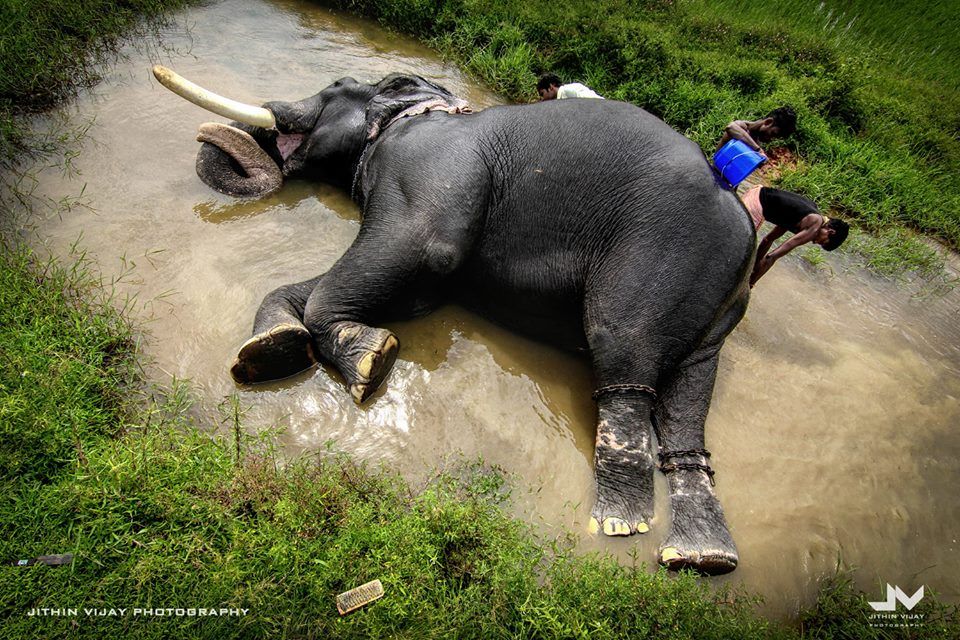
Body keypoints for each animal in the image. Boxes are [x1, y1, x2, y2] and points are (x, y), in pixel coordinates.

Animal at [163, 70, 756, 576]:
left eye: (332, 86)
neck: (415, 109)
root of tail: (742, 220)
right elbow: (408, 285)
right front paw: (272, 349)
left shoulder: (426, 165)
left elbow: (423, 248)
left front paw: (372, 361)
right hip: (717, 299)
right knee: (690, 387)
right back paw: (702, 555)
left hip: (664, 243)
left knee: (622, 344)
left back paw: (618, 522)